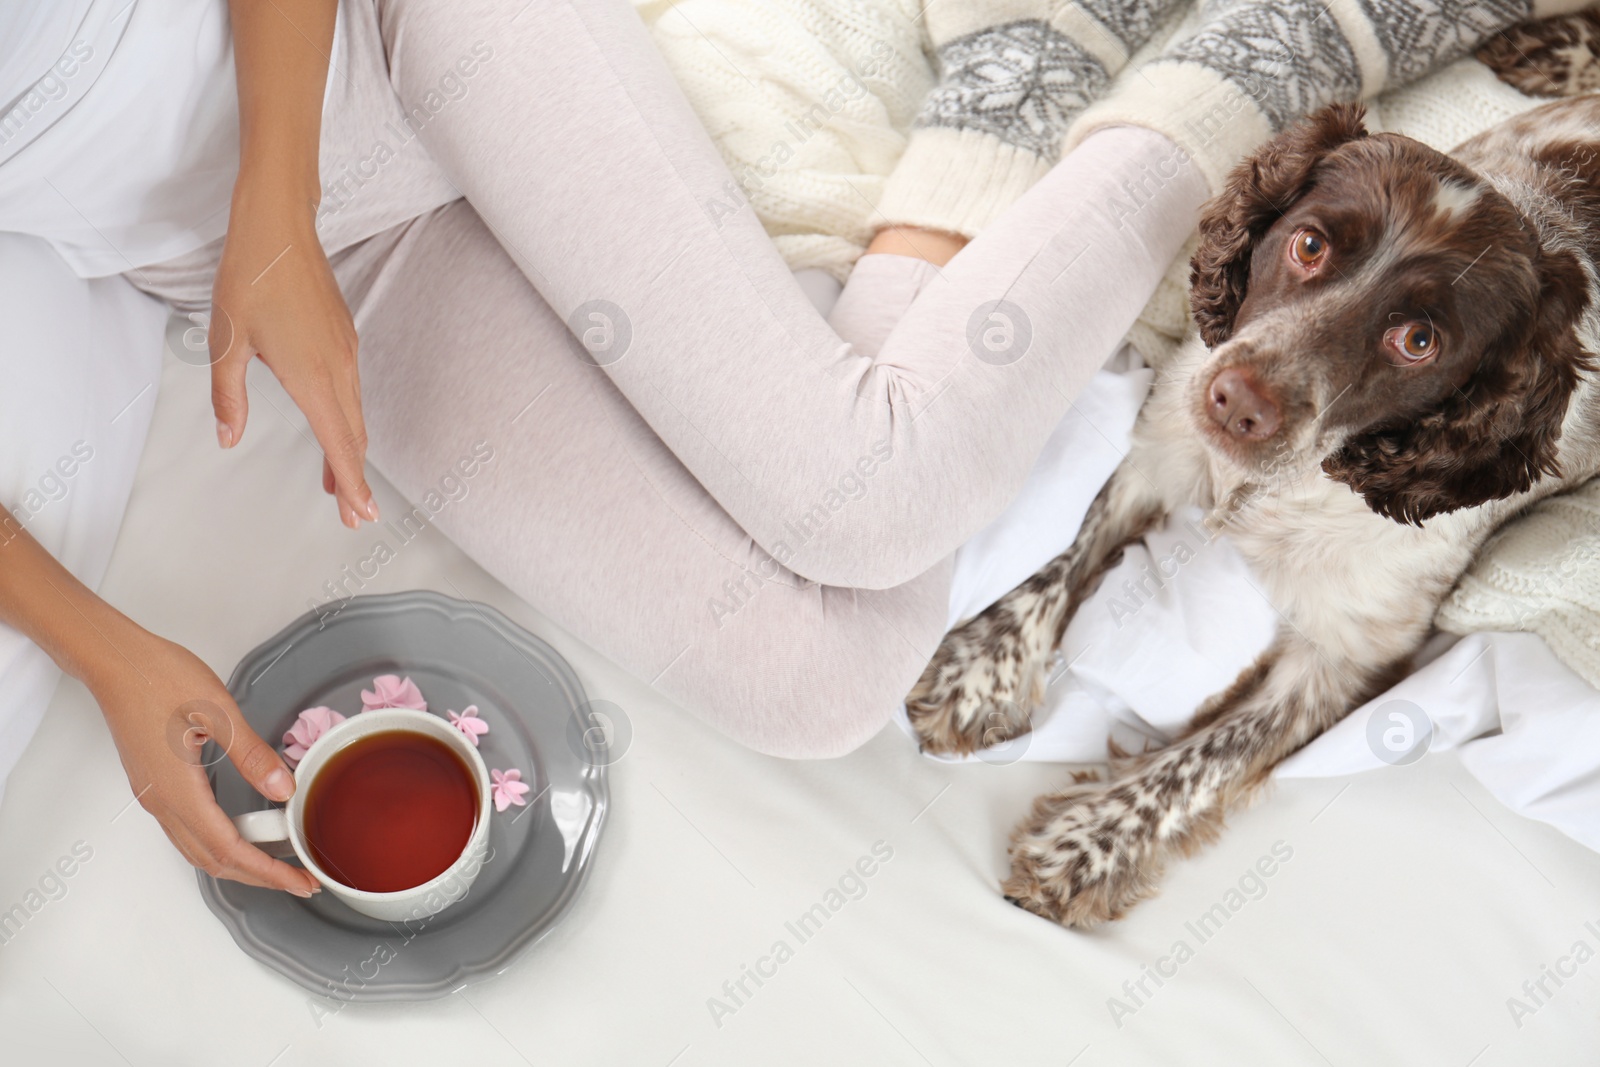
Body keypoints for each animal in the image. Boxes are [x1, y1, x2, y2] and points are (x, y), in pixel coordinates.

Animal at [908, 97, 1600, 927]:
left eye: (1419, 340)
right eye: (1309, 243)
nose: (1239, 401)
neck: (1271, 489)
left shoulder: (1348, 656)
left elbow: (1211, 756)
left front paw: (1089, 844)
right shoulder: (1162, 448)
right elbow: (1066, 550)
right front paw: (983, 673)